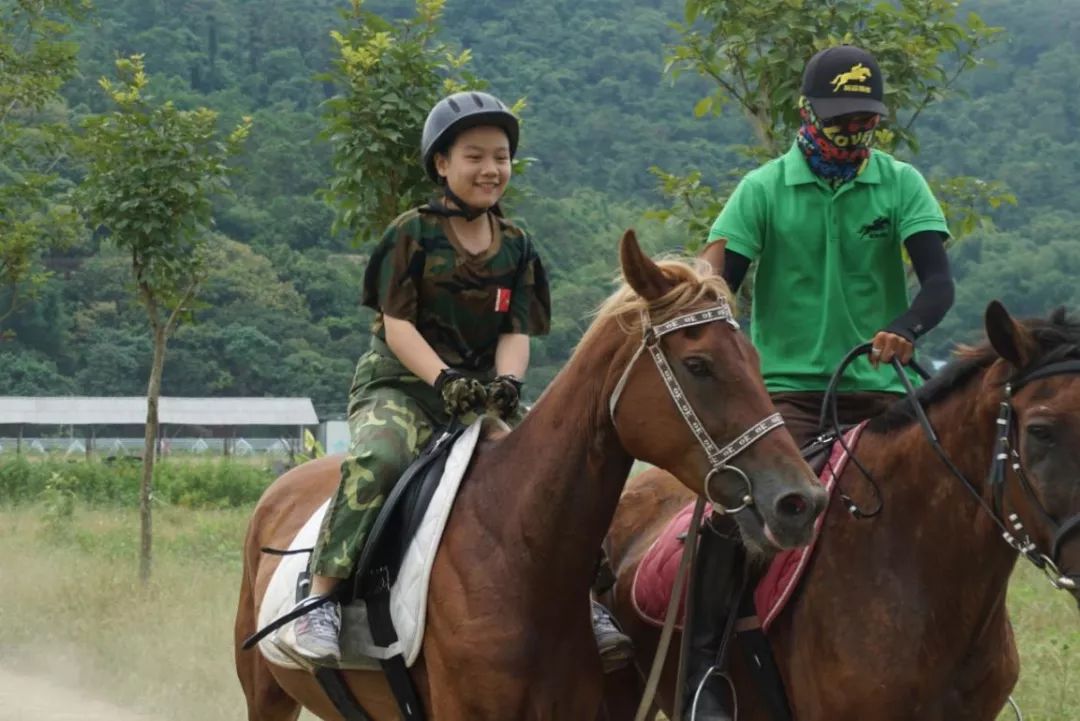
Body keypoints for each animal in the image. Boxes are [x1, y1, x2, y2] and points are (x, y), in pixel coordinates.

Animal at [234, 232, 825, 721]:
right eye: (699, 365)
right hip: (266, 697)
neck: (516, 549)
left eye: (754, 359)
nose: (801, 501)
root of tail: (278, 490)